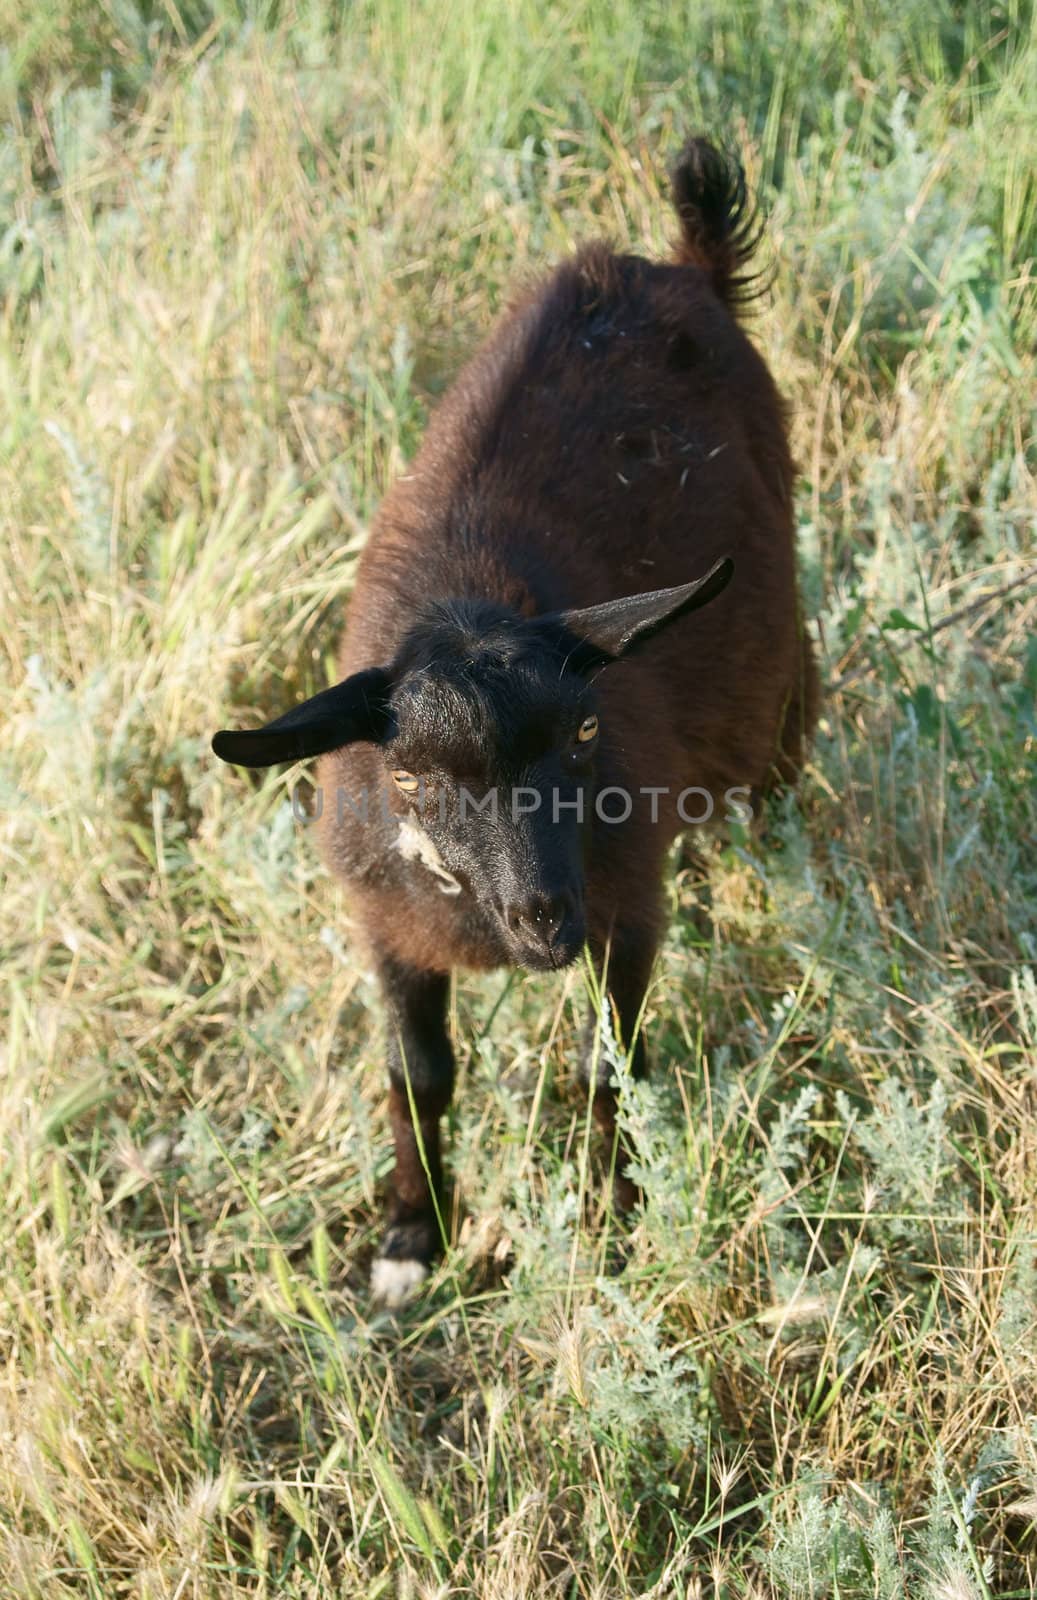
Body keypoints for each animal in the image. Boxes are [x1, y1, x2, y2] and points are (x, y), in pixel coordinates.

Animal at [212, 137, 819, 1305]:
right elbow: (416, 1071)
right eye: (408, 779)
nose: (545, 922)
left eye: (583, 736)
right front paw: (410, 1238)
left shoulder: (623, 902)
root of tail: (672, 264)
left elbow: (606, 1064)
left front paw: (613, 1219)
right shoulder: (386, 925)